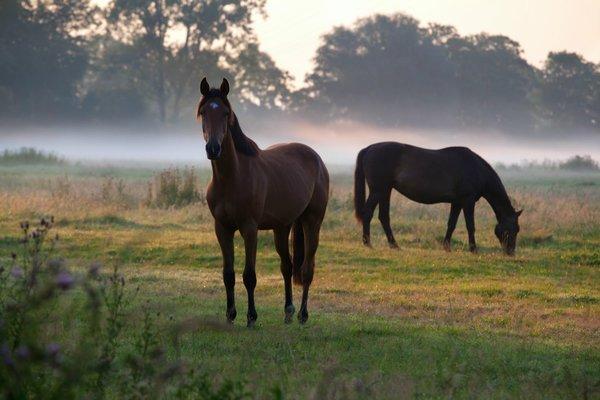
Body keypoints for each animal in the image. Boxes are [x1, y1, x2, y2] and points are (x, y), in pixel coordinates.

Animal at [197, 77, 328, 324]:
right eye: (203, 113)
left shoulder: (249, 228)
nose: (213, 148)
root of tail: (316, 158)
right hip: (282, 227)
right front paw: (230, 315)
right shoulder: (222, 228)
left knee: (307, 269)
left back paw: (303, 314)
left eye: (226, 113)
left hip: (312, 221)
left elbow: (249, 275)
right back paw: (288, 311)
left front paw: (251, 317)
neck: (233, 177)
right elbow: (228, 274)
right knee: (287, 266)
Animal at [354, 142, 524, 255]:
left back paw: (393, 245)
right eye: (513, 229)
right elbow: (470, 226)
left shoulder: (457, 203)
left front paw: (446, 247)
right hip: (378, 190)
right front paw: (473, 249)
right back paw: (367, 243)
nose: (510, 252)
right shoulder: (468, 202)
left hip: (385, 191)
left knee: (383, 217)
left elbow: (451, 224)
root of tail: (368, 149)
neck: (476, 169)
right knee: (368, 213)